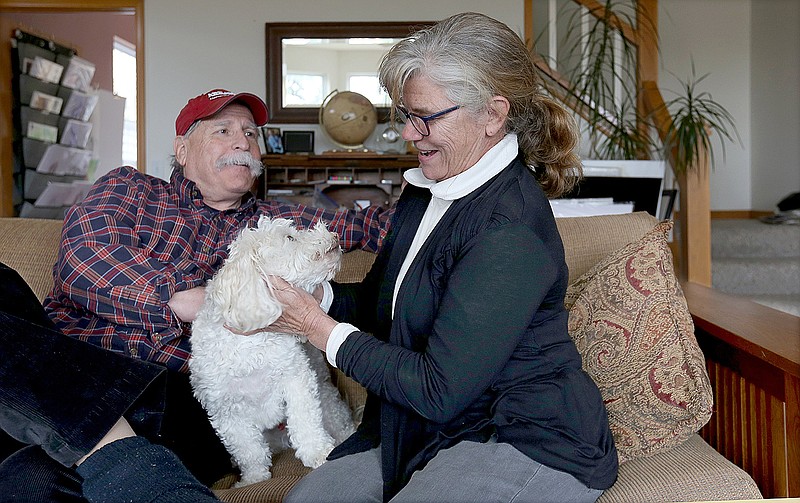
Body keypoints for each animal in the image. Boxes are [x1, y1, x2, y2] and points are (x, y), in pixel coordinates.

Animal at [189, 217, 354, 488]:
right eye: (290, 237)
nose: (334, 235)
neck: (249, 346)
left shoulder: (298, 380)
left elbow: (305, 422)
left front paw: (318, 452)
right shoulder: (227, 413)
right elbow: (249, 451)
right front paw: (253, 479)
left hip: (327, 395)